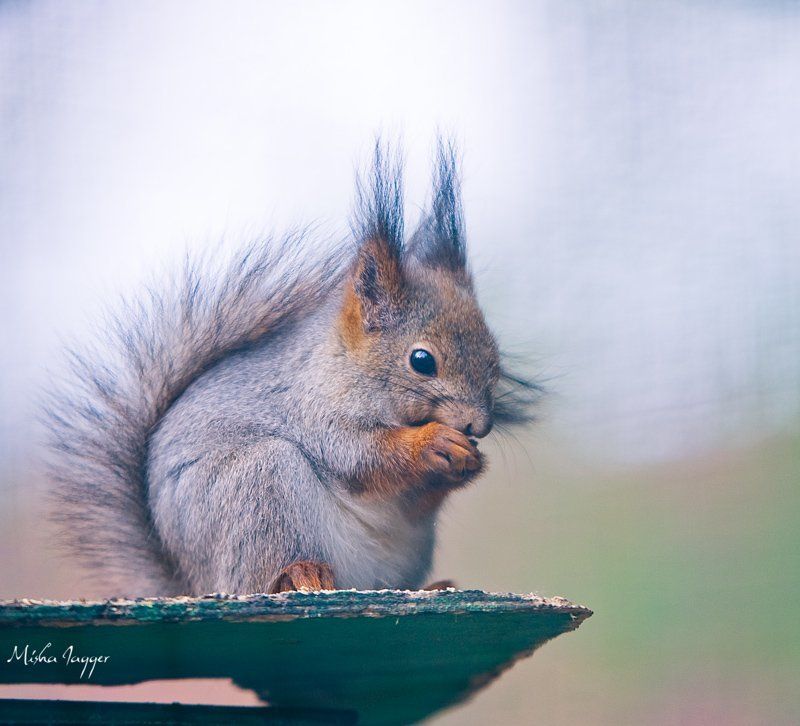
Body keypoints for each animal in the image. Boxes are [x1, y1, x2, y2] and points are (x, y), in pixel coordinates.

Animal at [44, 139, 539, 597]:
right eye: (422, 361)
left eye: (495, 359)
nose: (478, 425)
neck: (341, 366)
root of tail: (196, 584)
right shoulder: (313, 409)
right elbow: (360, 455)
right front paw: (433, 443)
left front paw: (470, 461)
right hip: (263, 486)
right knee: (260, 573)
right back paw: (298, 574)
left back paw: (431, 587)